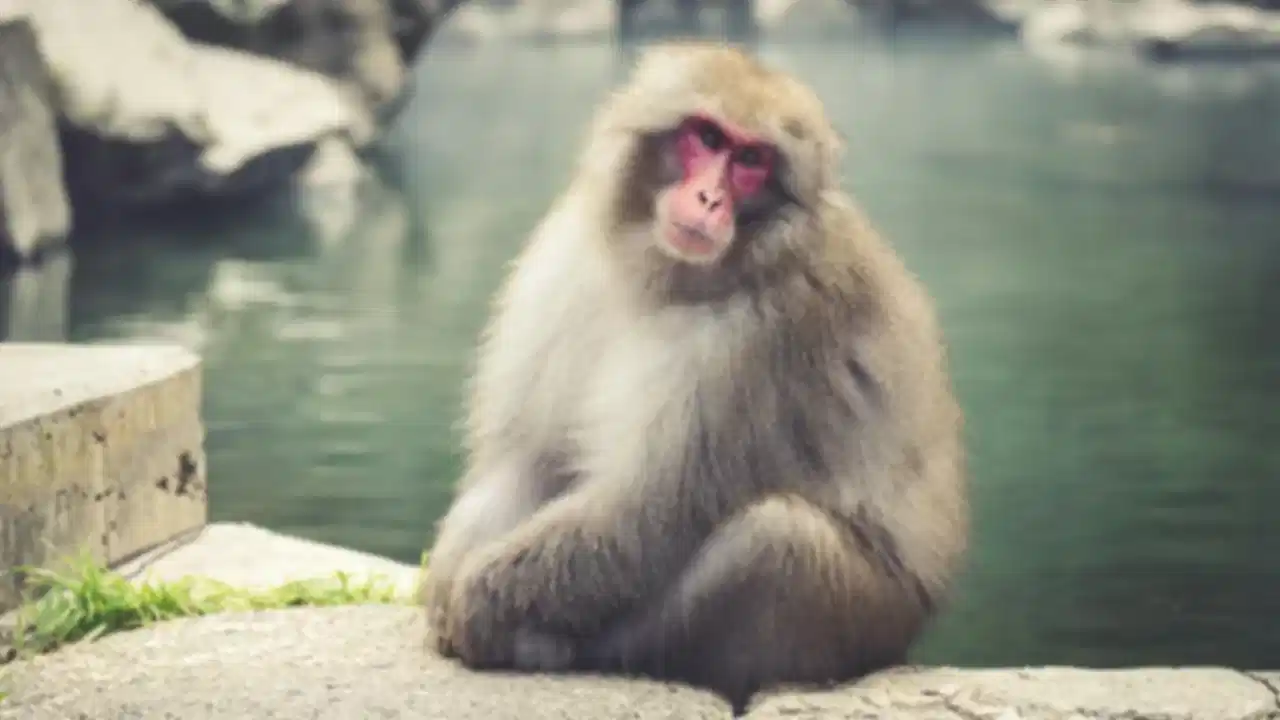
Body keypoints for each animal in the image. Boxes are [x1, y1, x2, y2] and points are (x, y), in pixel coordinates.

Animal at [419, 42, 969, 715]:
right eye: (707, 137)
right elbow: (526, 461)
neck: (660, 273)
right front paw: (450, 582)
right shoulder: (565, 264)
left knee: (777, 540)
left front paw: (476, 605)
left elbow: (646, 511)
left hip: (868, 621)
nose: (709, 199)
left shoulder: (759, 341)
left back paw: (571, 650)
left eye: (752, 161)